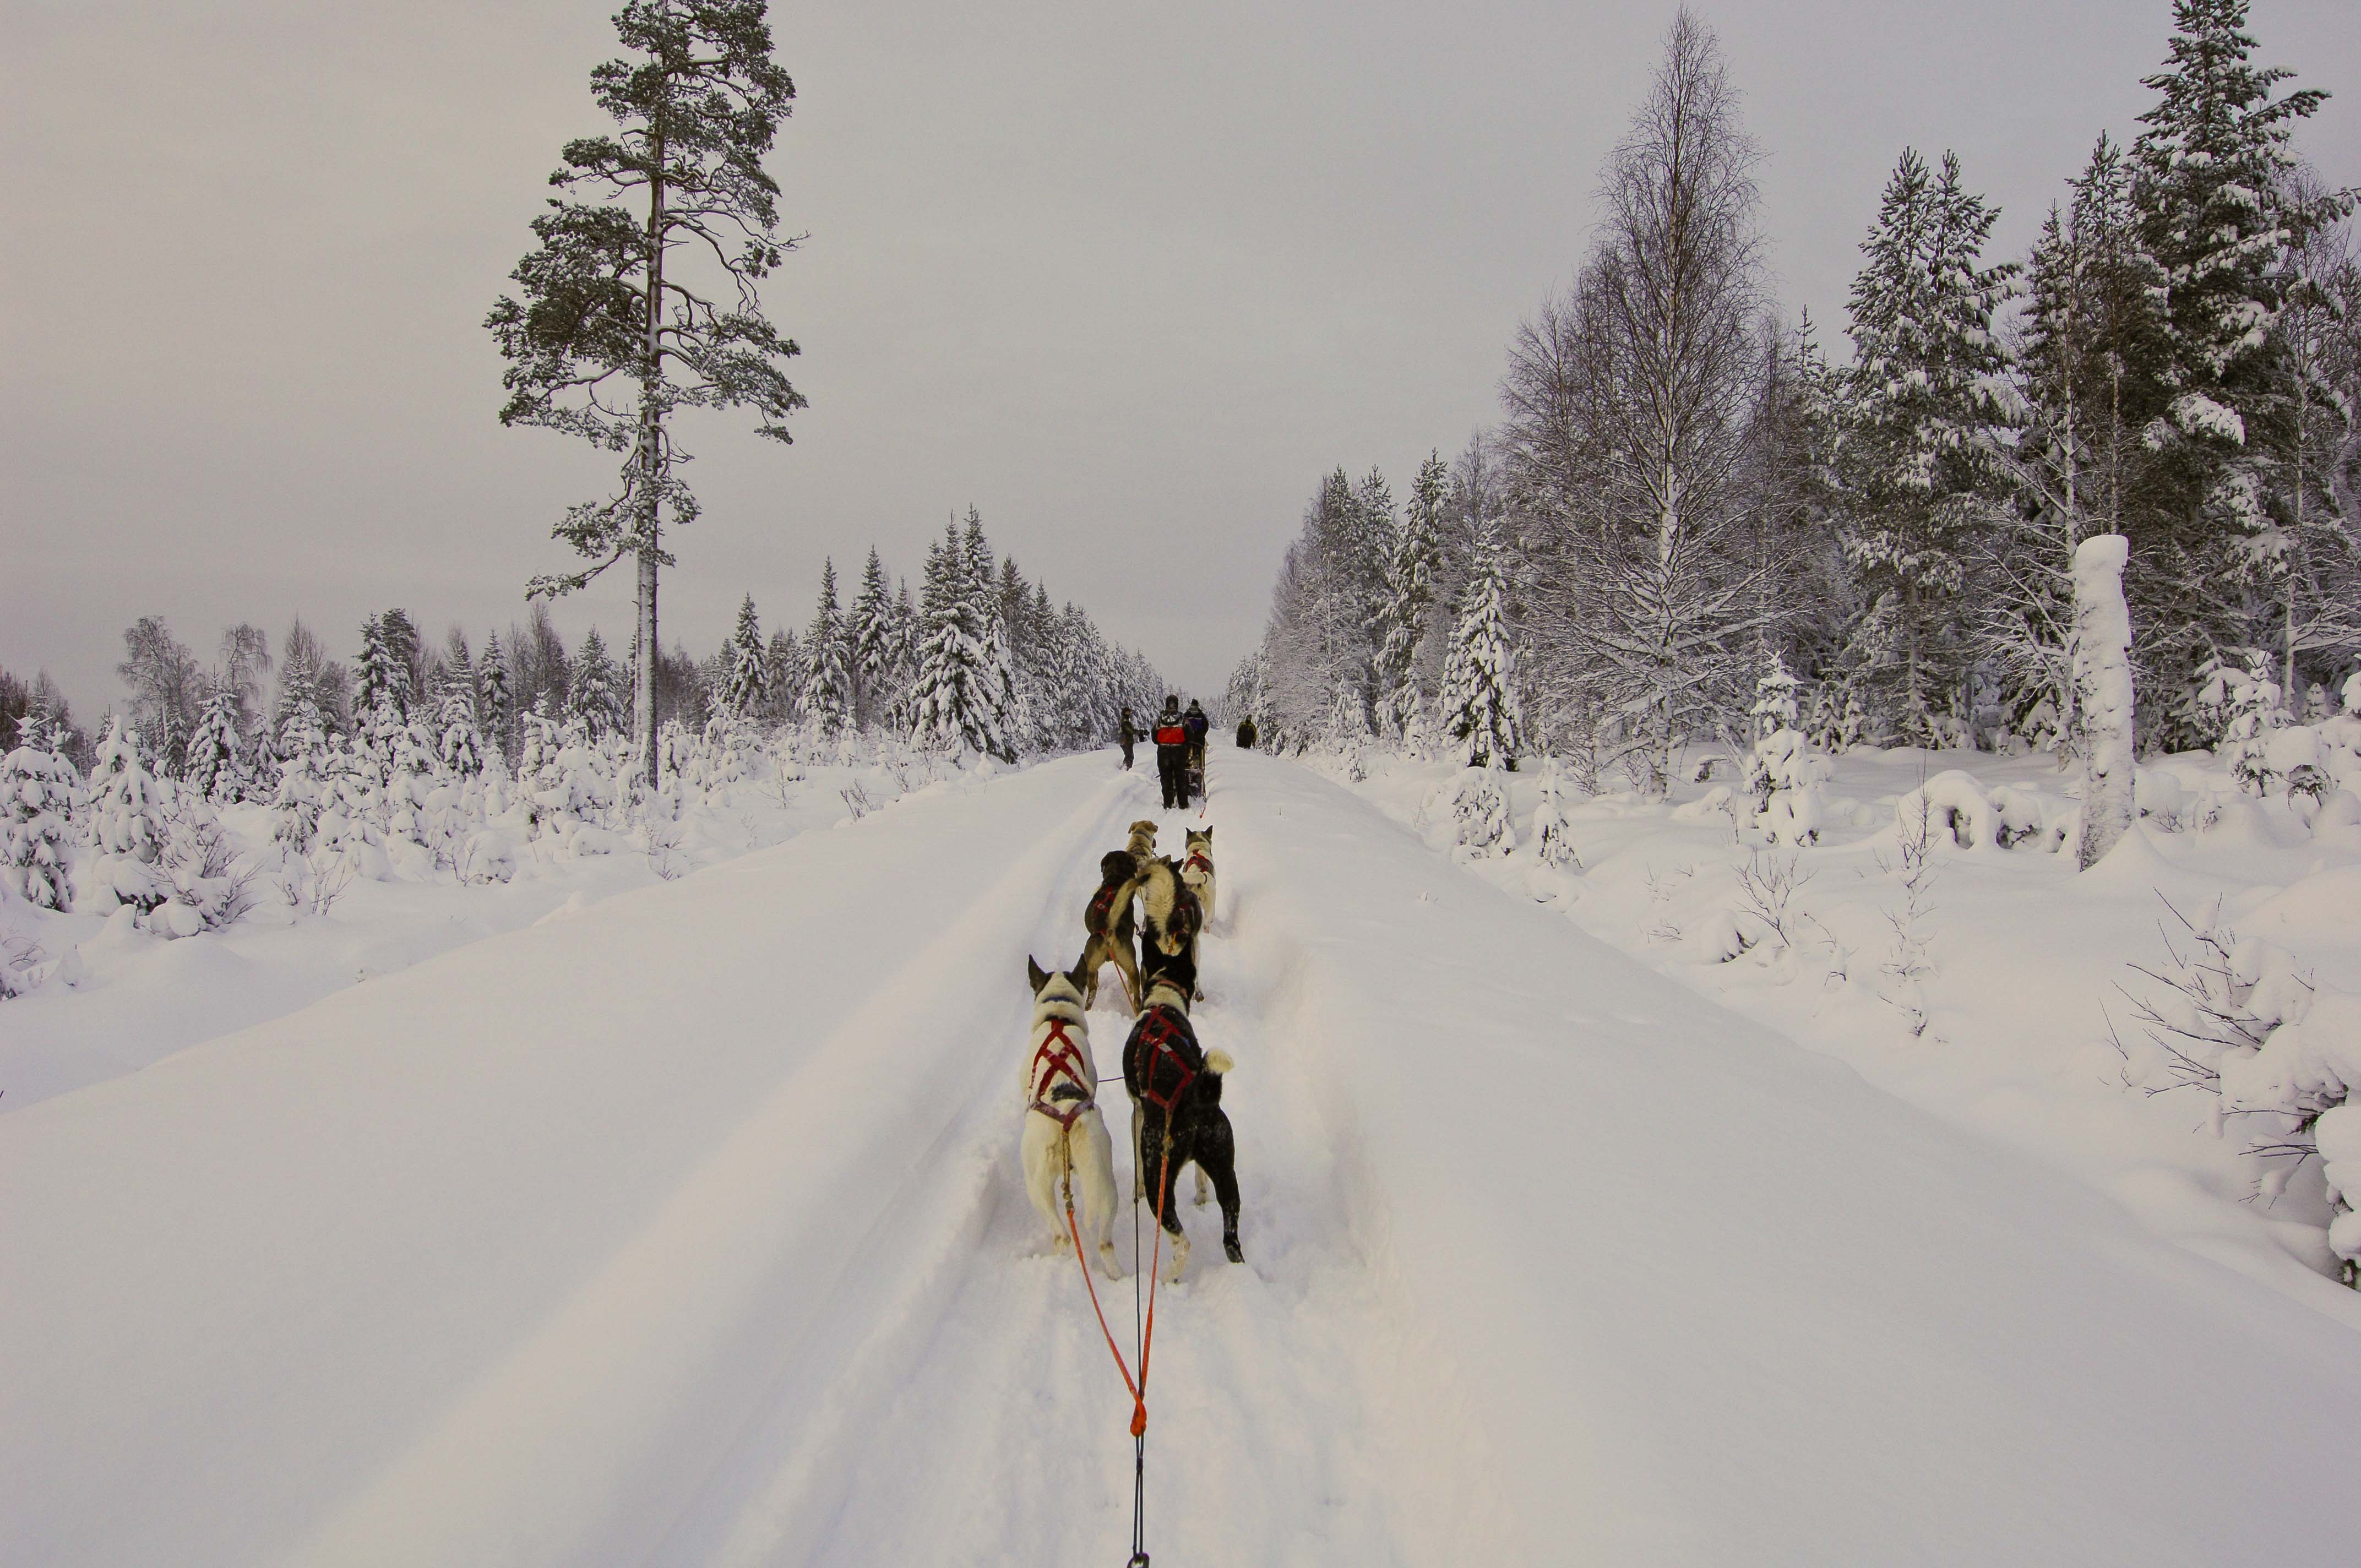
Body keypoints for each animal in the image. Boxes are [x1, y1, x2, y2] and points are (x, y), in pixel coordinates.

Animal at [1020, 954, 1119, 1275]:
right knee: (1104, 1242)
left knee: (1062, 1234)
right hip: (1102, 1180)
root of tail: (1065, 1116)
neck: (1059, 1018)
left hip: (1036, 1186)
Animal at [1119, 982, 1247, 1284]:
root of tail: (1193, 1101)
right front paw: (1201, 1199)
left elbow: (1137, 1170)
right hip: (1226, 1174)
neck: (1163, 1004)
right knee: (1232, 1242)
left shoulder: (1136, 1114)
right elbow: (1201, 1180)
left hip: (1159, 1180)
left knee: (1183, 1243)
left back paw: (1167, 1278)